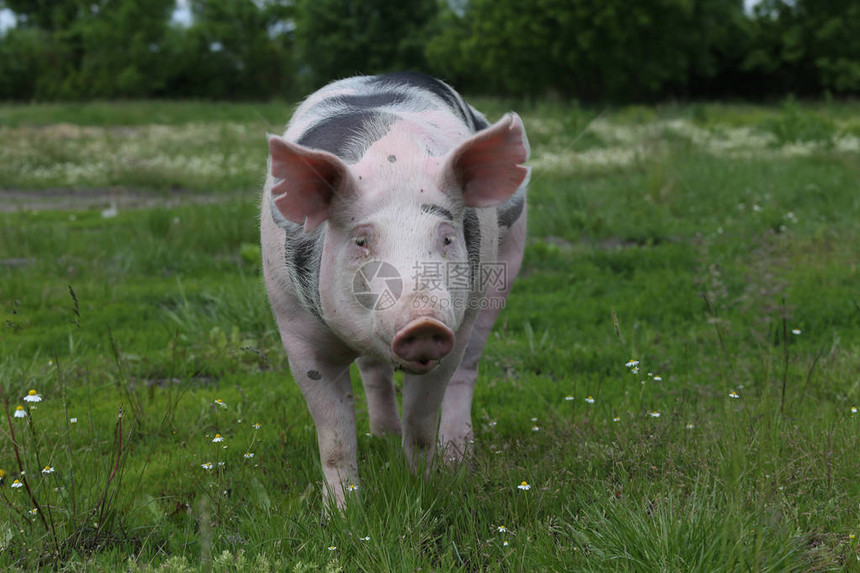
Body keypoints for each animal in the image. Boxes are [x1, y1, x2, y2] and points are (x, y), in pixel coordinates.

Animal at [260, 71, 532, 504]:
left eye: (447, 237)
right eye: (360, 240)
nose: (423, 323)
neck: (392, 165)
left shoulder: (454, 330)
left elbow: (421, 423)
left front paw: (425, 488)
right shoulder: (296, 328)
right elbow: (334, 437)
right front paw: (342, 511)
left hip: (500, 276)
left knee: (468, 368)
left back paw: (458, 458)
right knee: (373, 371)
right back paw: (382, 436)